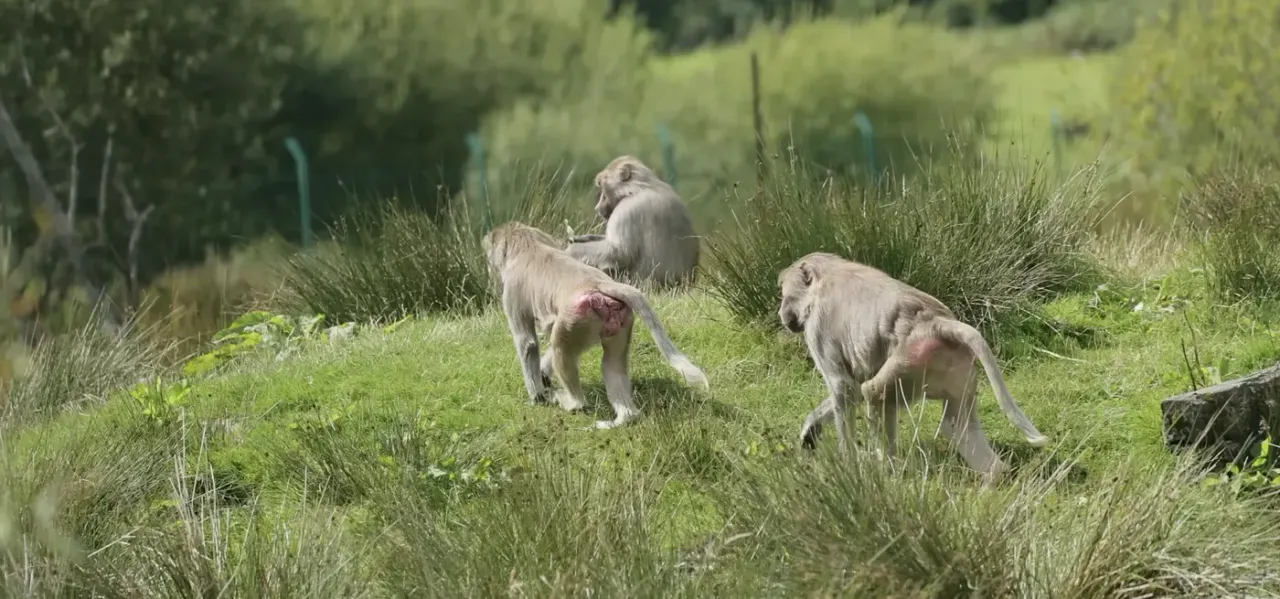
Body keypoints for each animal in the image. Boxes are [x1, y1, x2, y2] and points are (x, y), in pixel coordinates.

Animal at [482, 221, 710, 429]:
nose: (489, 267)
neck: (528, 245)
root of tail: (601, 285)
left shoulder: (512, 288)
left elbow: (527, 343)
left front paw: (536, 397)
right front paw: (543, 377)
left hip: (579, 316)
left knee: (561, 349)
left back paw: (573, 403)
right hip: (618, 318)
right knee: (611, 363)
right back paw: (625, 417)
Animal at [565, 155, 700, 289]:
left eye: (602, 186)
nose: (597, 207)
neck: (639, 188)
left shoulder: (626, 209)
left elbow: (620, 252)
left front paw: (571, 251)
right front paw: (582, 238)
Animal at [776, 252, 1049, 485]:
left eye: (783, 293)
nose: (782, 315)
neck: (824, 275)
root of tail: (936, 323)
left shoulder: (817, 326)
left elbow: (846, 389)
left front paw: (848, 463)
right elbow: (850, 389)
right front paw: (810, 430)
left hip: (912, 360)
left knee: (874, 394)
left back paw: (884, 467)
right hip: (956, 367)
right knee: (955, 425)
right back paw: (994, 476)